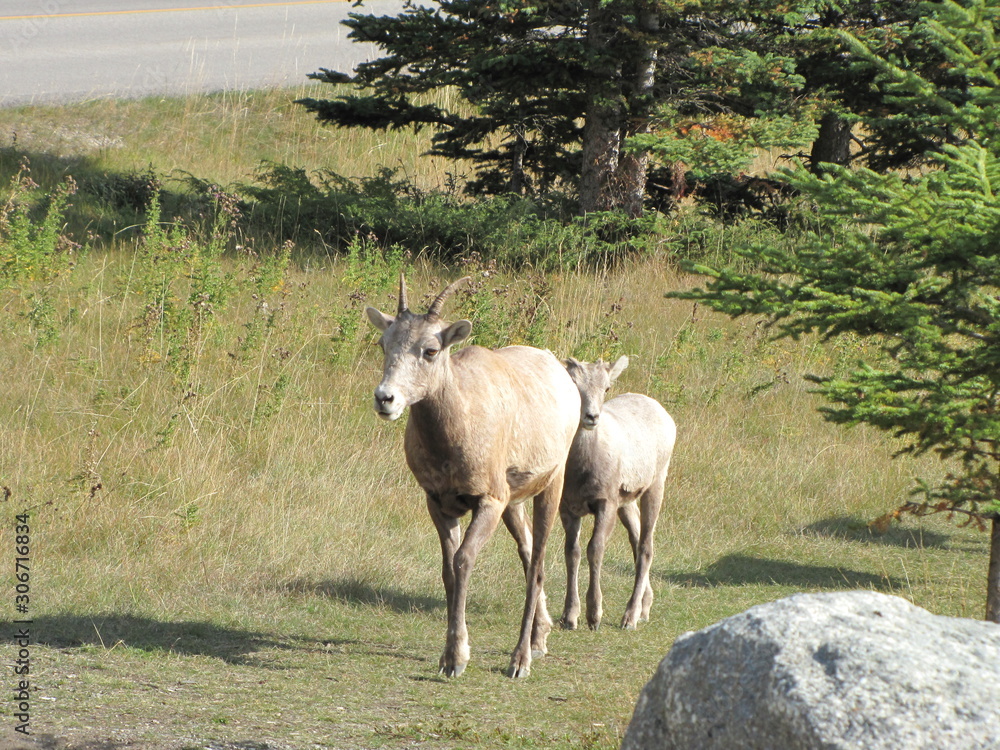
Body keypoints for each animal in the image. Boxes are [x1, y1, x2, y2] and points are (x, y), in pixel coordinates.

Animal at [365, 274, 581, 678]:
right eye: (384, 343)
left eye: (430, 350)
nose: (385, 399)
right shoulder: (438, 502)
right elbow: (449, 570)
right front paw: (450, 655)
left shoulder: (488, 502)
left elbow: (464, 561)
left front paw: (455, 661)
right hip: (514, 504)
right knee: (527, 550)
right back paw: (539, 639)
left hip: (550, 487)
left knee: (538, 562)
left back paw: (521, 659)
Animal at [559, 356, 676, 631]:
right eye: (574, 384)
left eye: (606, 388)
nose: (591, 417)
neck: (581, 466)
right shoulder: (568, 509)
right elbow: (573, 553)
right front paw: (570, 617)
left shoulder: (605, 505)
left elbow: (595, 550)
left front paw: (594, 616)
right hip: (627, 503)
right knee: (636, 541)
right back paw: (644, 608)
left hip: (654, 488)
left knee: (645, 548)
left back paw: (630, 618)